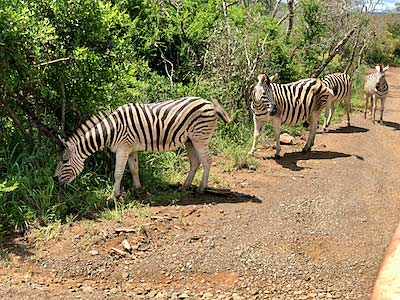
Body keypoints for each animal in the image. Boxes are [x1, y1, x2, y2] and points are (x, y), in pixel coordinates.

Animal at [53, 96, 230, 199]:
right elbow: (134, 169)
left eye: (65, 161)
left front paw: (114, 196)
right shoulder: (132, 149)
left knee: (207, 161)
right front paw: (138, 190)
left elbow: (118, 173)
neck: (111, 130)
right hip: (190, 140)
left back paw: (201, 188)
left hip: (200, 137)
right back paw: (185, 187)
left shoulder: (123, 148)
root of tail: (209, 102)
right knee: (195, 162)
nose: (54, 180)